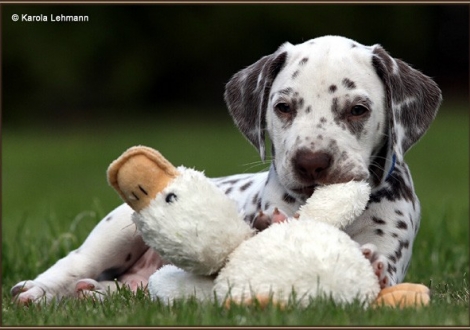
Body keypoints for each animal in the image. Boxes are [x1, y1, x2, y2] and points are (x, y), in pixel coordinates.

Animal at [11, 35, 444, 304]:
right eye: (283, 107)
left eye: (358, 109)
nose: (311, 162)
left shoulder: (391, 246)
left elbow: (379, 267)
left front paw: (368, 265)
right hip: (114, 232)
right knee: (74, 265)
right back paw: (38, 292)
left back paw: (98, 293)